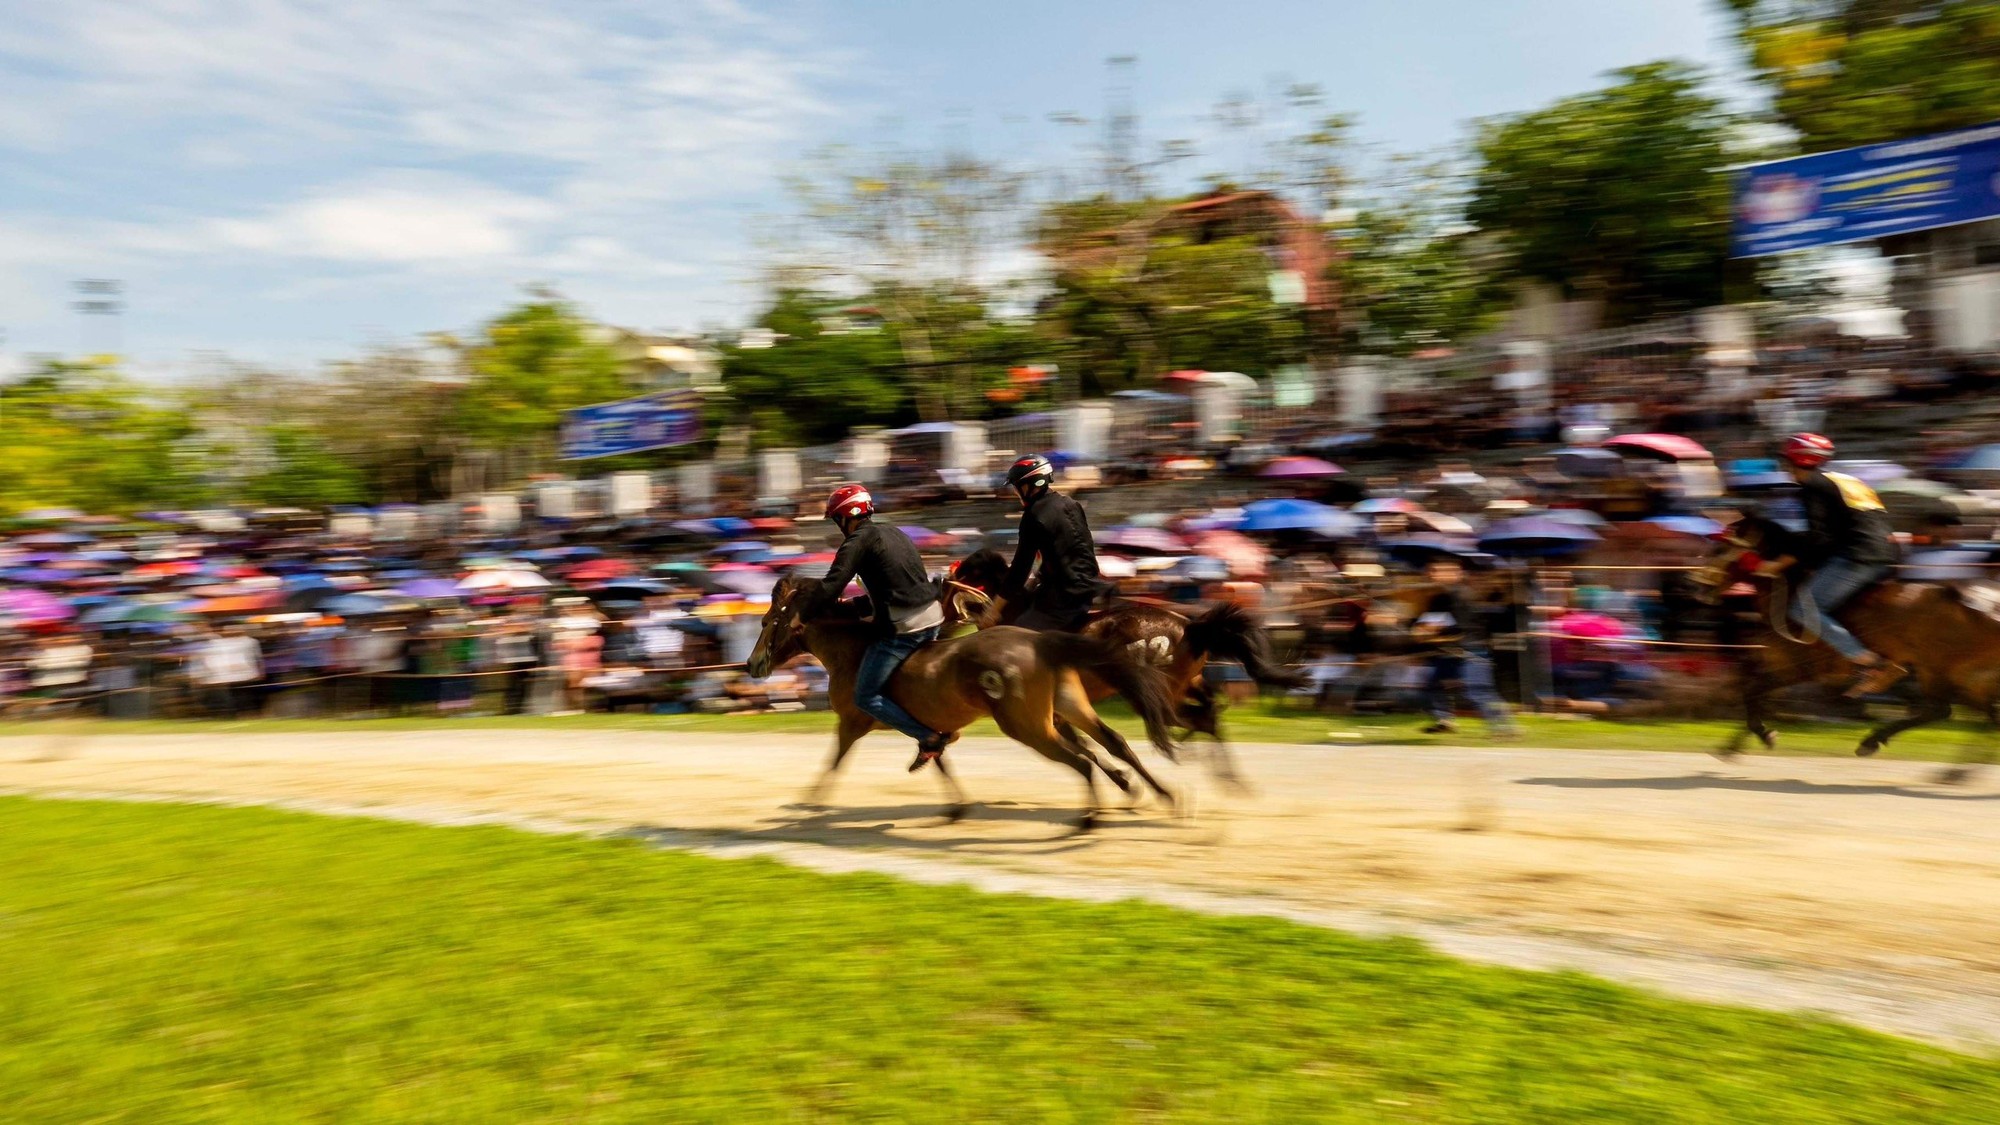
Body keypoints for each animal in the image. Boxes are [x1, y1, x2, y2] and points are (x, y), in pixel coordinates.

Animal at [752, 572, 1184, 828]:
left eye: (766, 621)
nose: (753, 663)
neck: (853, 652)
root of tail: (1040, 642)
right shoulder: (929, 727)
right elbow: (938, 756)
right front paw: (956, 806)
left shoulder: (852, 723)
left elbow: (833, 762)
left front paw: (811, 804)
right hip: (1068, 707)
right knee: (1113, 743)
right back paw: (1159, 793)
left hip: (1030, 726)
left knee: (1081, 760)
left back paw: (1091, 816)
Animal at [952, 544, 1312, 788]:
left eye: (967, 571)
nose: (945, 579)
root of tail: (1191, 626)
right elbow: (1088, 746)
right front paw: (1123, 778)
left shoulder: (1054, 712)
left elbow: (1085, 747)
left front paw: (1124, 780)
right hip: (1186, 685)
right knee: (1210, 711)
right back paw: (1225, 776)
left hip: (1156, 694)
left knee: (1199, 716)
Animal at [1704, 510, 2000, 780]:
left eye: (1723, 547)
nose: (1699, 585)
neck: (1788, 589)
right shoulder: (1782, 664)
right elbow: (1753, 692)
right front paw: (1736, 746)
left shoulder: (1799, 668)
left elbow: (1753, 690)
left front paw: (1763, 736)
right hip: (1959, 674)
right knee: (1975, 714)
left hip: (1944, 670)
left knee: (1950, 710)